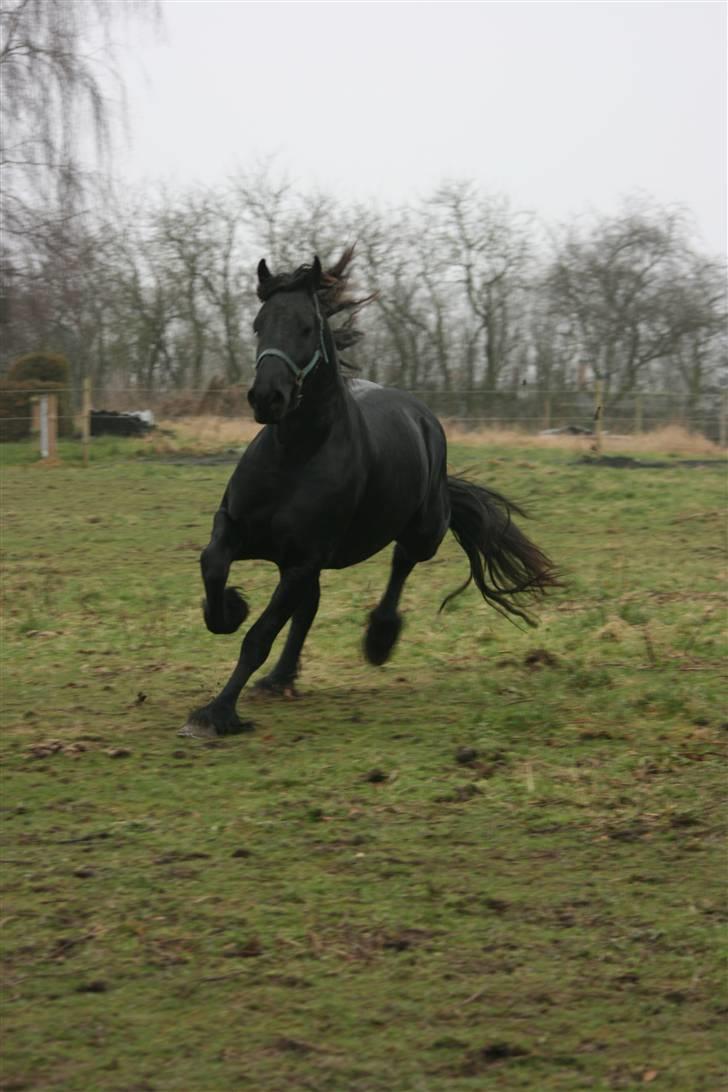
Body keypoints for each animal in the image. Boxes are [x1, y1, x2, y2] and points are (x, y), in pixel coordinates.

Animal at [182, 251, 558, 738]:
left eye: (307, 327)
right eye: (257, 325)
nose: (267, 397)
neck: (295, 456)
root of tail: (422, 417)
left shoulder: (303, 559)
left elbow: (259, 636)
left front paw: (218, 712)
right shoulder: (242, 531)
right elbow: (213, 566)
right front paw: (230, 608)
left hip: (422, 531)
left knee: (400, 566)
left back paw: (379, 638)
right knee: (309, 608)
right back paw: (282, 678)